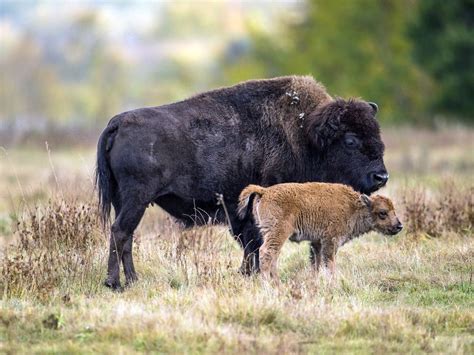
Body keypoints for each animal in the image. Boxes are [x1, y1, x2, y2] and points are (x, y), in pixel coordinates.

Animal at [239, 184, 402, 280]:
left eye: (393, 209)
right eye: (382, 213)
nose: (399, 226)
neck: (354, 206)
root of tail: (265, 191)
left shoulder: (317, 242)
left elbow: (316, 263)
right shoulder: (330, 241)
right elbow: (329, 263)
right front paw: (332, 283)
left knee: (273, 256)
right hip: (278, 233)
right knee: (266, 253)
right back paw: (269, 285)